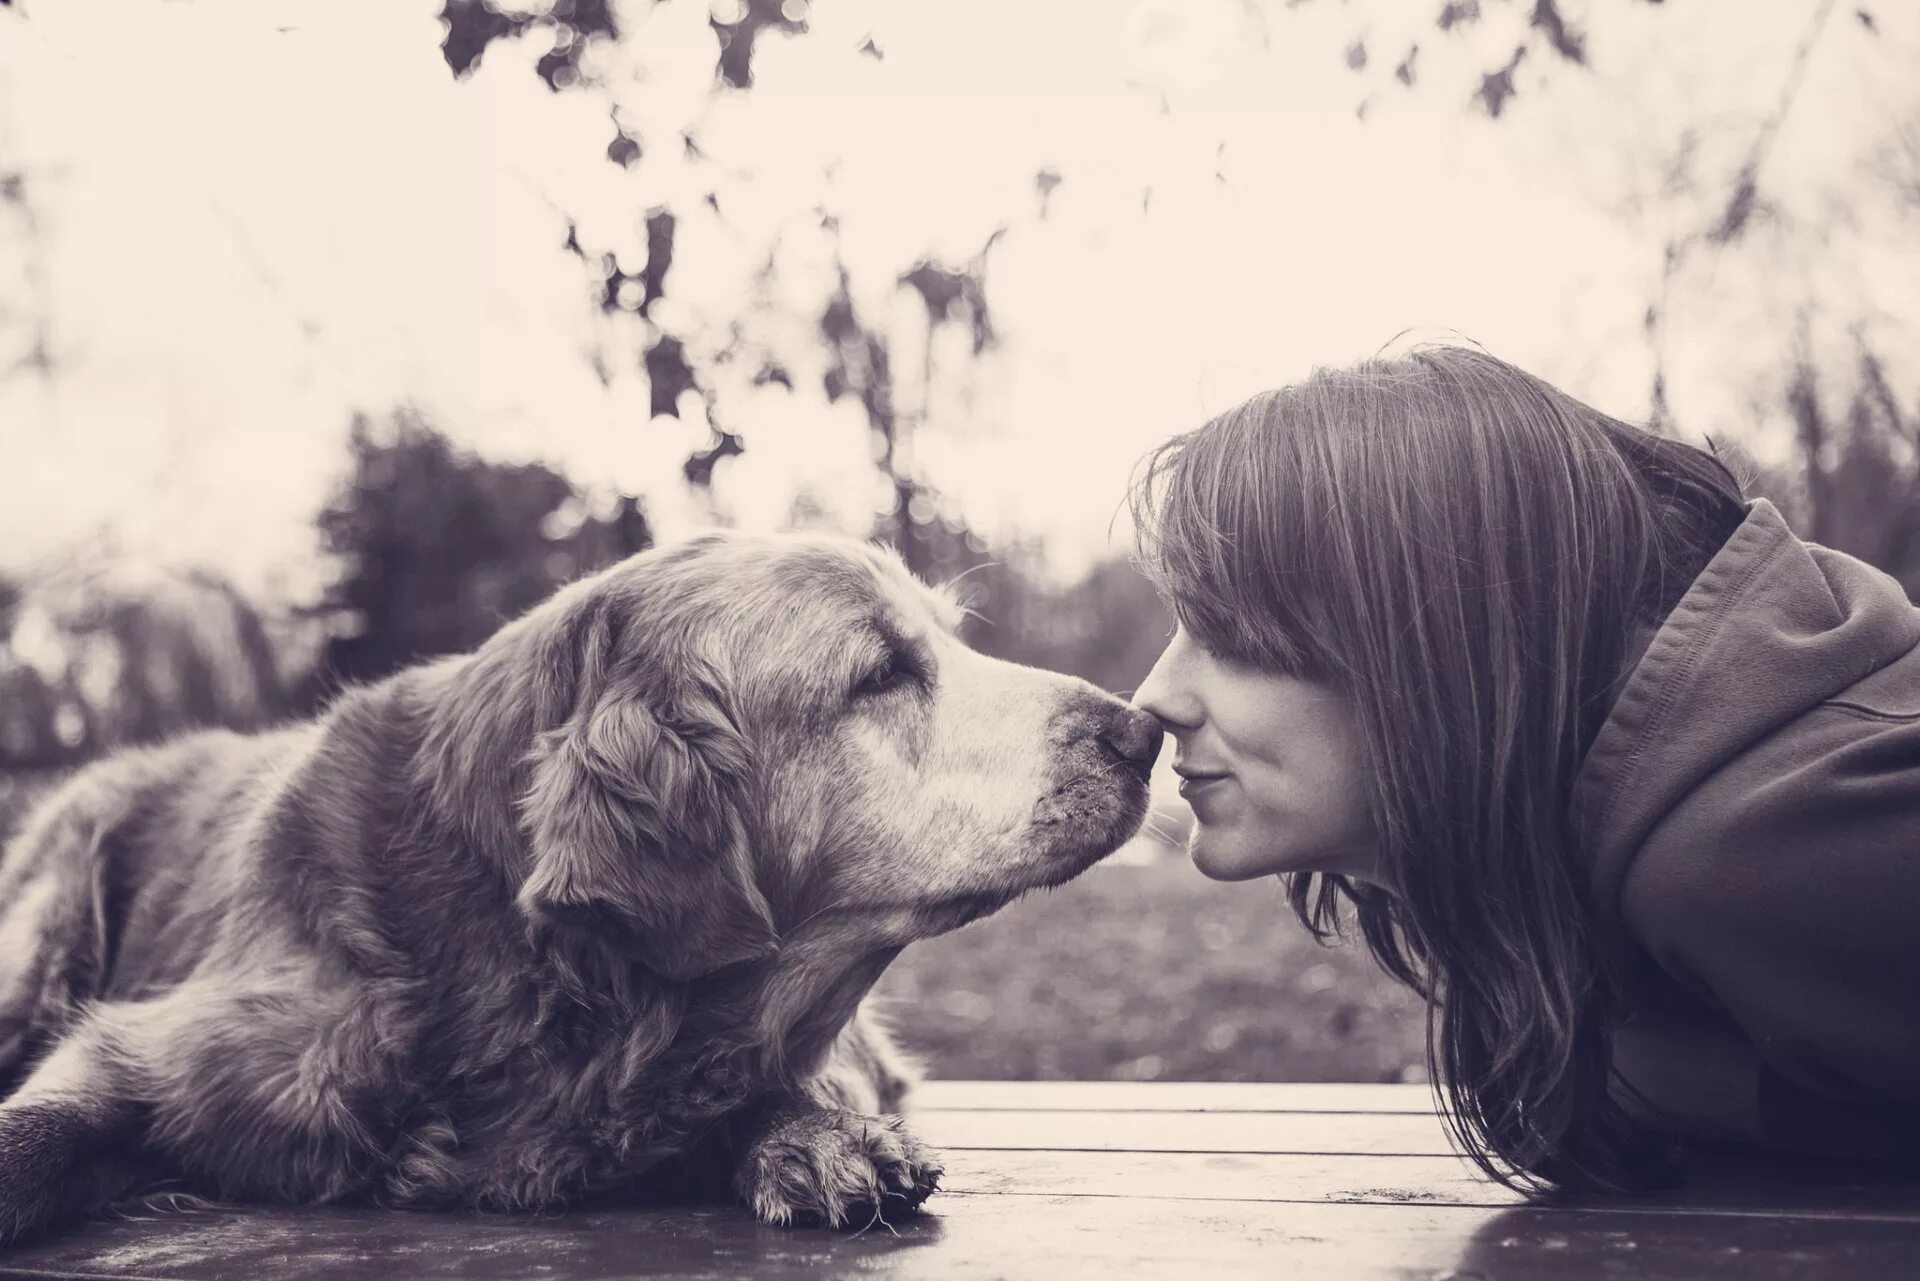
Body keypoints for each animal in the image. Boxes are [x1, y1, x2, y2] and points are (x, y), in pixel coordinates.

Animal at [0, 530, 1152, 1244]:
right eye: (880, 674)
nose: (1145, 735)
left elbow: (801, 1075)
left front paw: (812, 1132)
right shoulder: (160, 1045)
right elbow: (35, 1134)